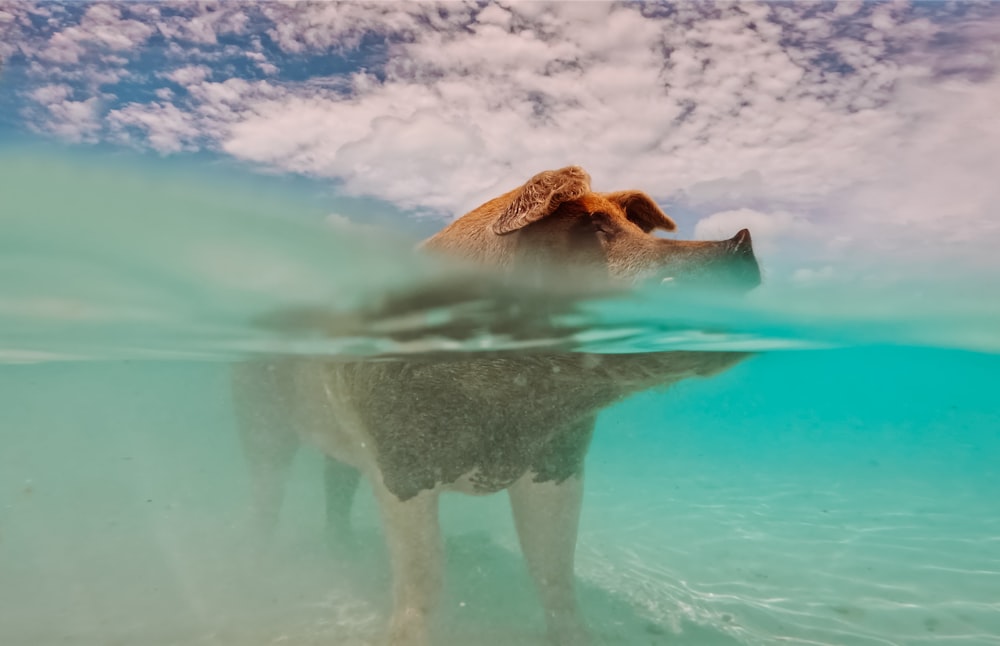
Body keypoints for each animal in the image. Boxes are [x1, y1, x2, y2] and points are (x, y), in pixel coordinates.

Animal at [232, 167, 756, 646]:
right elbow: (425, 580)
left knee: (336, 481)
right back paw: (258, 567)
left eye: (637, 230)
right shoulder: (398, 462)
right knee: (266, 490)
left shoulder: (560, 460)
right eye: (592, 227)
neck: (507, 421)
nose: (741, 242)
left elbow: (554, 572)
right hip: (258, 411)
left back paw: (343, 552)